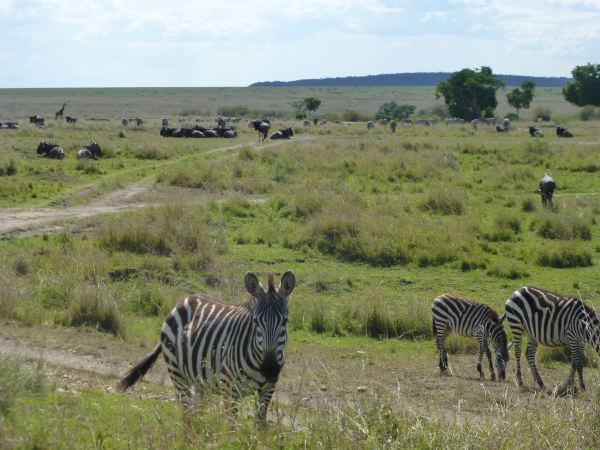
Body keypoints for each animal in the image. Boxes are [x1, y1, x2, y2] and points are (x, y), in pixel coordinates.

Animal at [117, 270, 296, 422]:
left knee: (197, 415)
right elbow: (231, 427)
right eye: (256, 321)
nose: (270, 370)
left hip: (200, 381)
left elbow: (260, 426)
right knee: (188, 415)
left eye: (285, 321)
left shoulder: (268, 391)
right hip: (177, 374)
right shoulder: (230, 389)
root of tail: (182, 301)